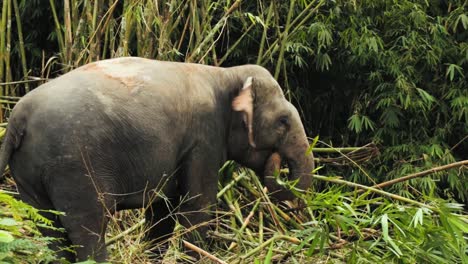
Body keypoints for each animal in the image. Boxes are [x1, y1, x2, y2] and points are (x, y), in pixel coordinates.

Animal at [0, 56, 316, 260]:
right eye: (283, 121)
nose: (276, 161)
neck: (225, 74)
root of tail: (17, 118)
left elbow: (161, 211)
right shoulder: (203, 139)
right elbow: (197, 206)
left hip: (29, 173)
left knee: (49, 228)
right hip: (74, 165)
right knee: (88, 229)